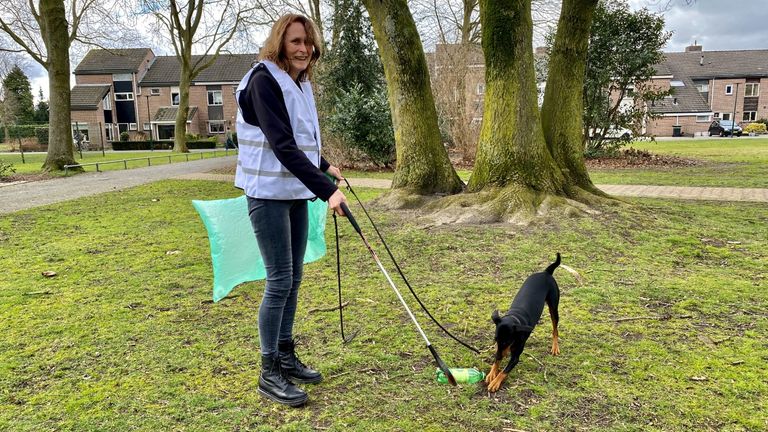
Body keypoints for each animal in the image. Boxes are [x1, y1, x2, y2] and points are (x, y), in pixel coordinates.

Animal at [486, 253, 564, 392]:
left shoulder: (515, 357)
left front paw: (495, 382)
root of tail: (546, 272)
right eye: (495, 339)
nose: (500, 356)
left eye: (507, 341)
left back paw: (555, 347)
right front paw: (492, 372)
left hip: (553, 307)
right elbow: (497, 361)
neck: (515, 318)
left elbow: (504, 371)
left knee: (555, 329)